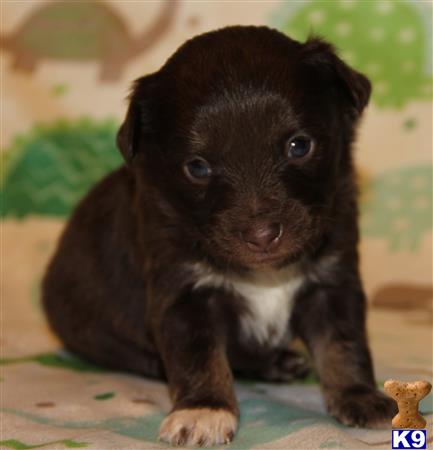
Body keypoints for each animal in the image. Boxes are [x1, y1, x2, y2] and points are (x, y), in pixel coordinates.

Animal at [43, 27, 394, 446]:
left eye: (299, 145)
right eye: (197, 167)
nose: (262, 235)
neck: (265, 274)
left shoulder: (332, 279)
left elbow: (343, 342)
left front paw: (360, 395)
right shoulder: (185, 294)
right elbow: (199, 356)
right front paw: (203, 411)